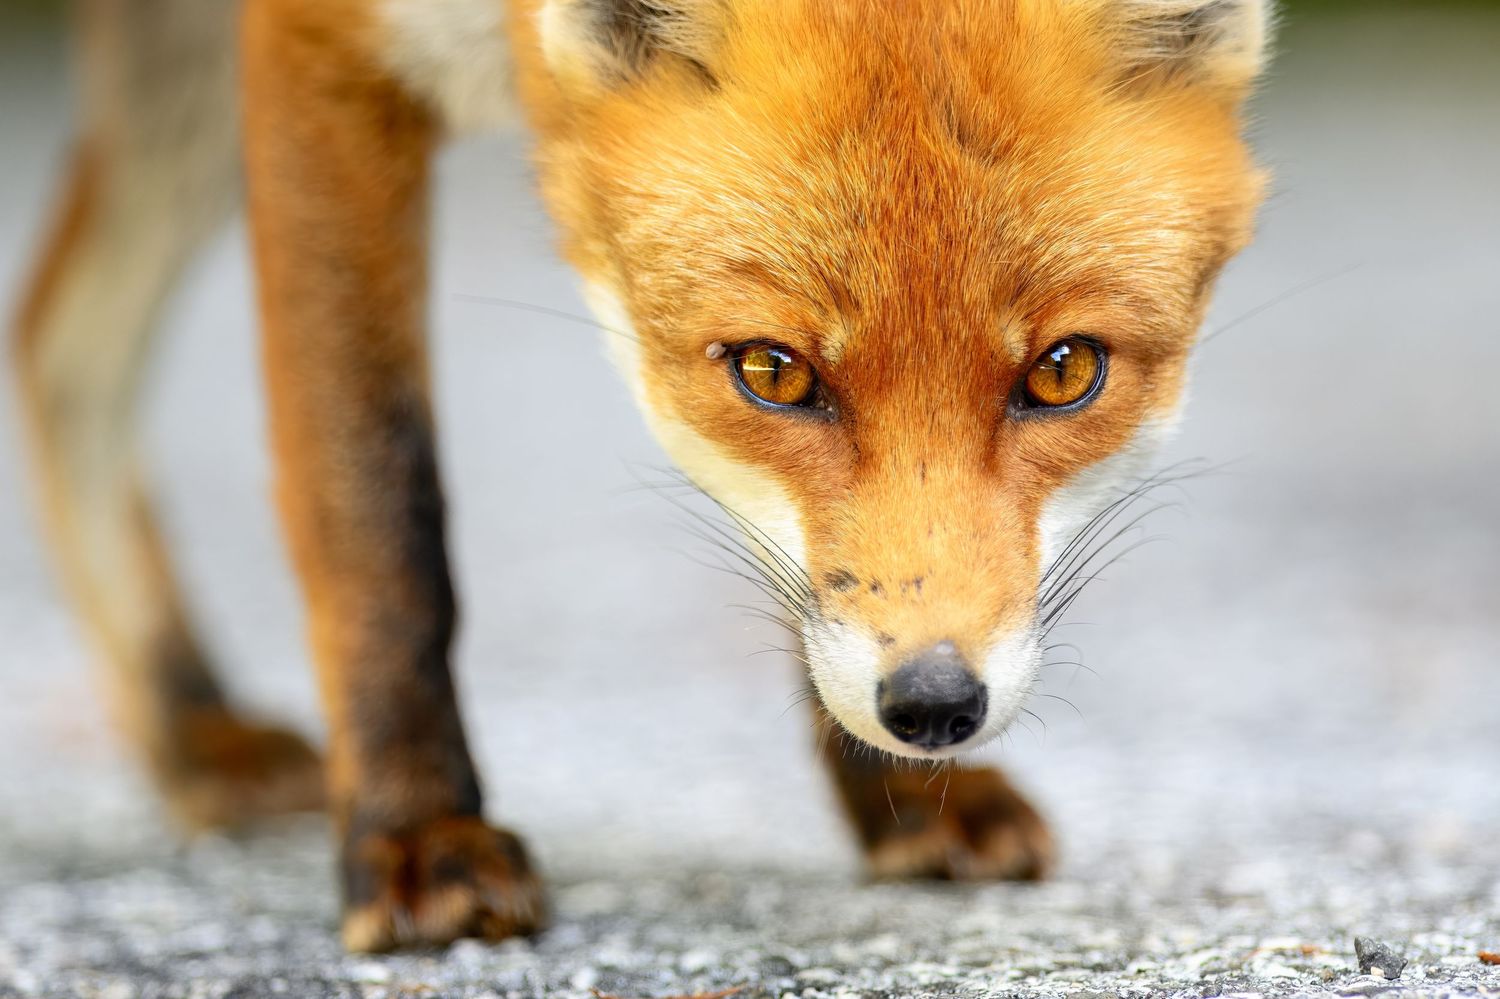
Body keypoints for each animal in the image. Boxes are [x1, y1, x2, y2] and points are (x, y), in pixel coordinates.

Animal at [10, 0, 1270, 953]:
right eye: (774, 370)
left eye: (1065, 372)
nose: (931, 708)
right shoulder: (318, 50)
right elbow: (376, 512)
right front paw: (414, 837)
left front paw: (893, 795)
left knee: (58, 341)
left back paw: (189, 729)